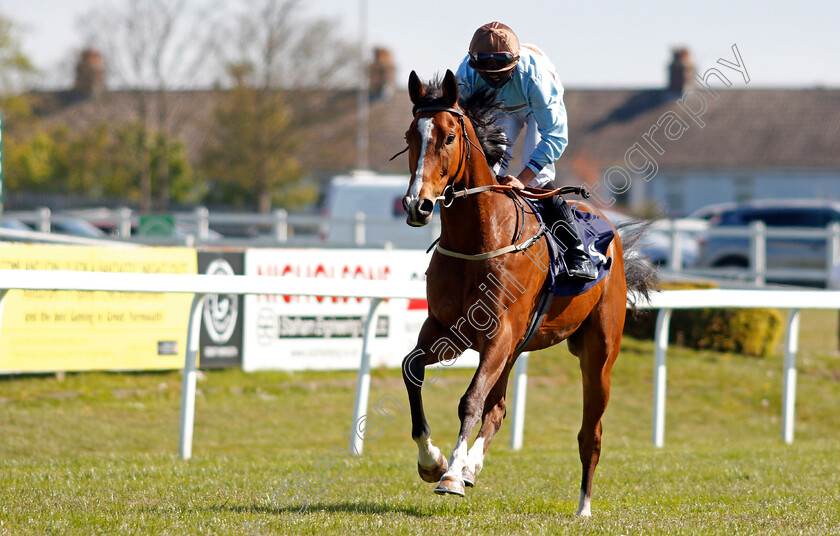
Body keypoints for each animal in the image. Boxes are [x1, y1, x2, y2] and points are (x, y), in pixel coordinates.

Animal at [398, 69, 656, 516]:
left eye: (449, 136)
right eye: (411, 136)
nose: (418, 205)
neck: (478, 240)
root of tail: (613, 231)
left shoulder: (499, 332)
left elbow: (470, 401)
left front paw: (450, 476)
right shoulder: (448, 330)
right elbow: (413, 369)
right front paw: (434, 462)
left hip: (598, 353)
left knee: (591, 433)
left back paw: (583, 507)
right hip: (516, 347)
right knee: (498, 408)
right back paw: (471, 466)